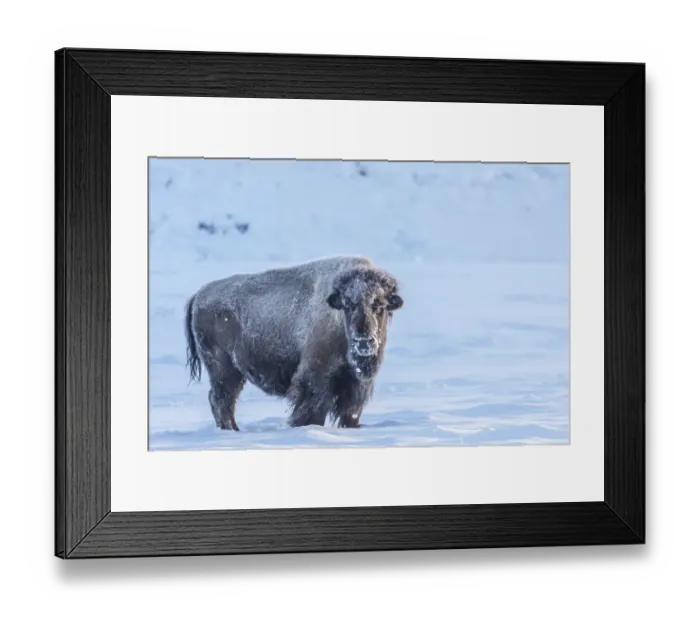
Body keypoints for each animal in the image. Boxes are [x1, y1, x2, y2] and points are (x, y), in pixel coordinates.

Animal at [185, 256, 404, 431]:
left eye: (380, 305)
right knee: (221, 400)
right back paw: (231, 430)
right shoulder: (316, 376)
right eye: (348, 305)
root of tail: (199, 295)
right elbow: (313, 410)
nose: (363, 341)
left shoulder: (356, 384)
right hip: (223, 369)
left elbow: (350, 412)